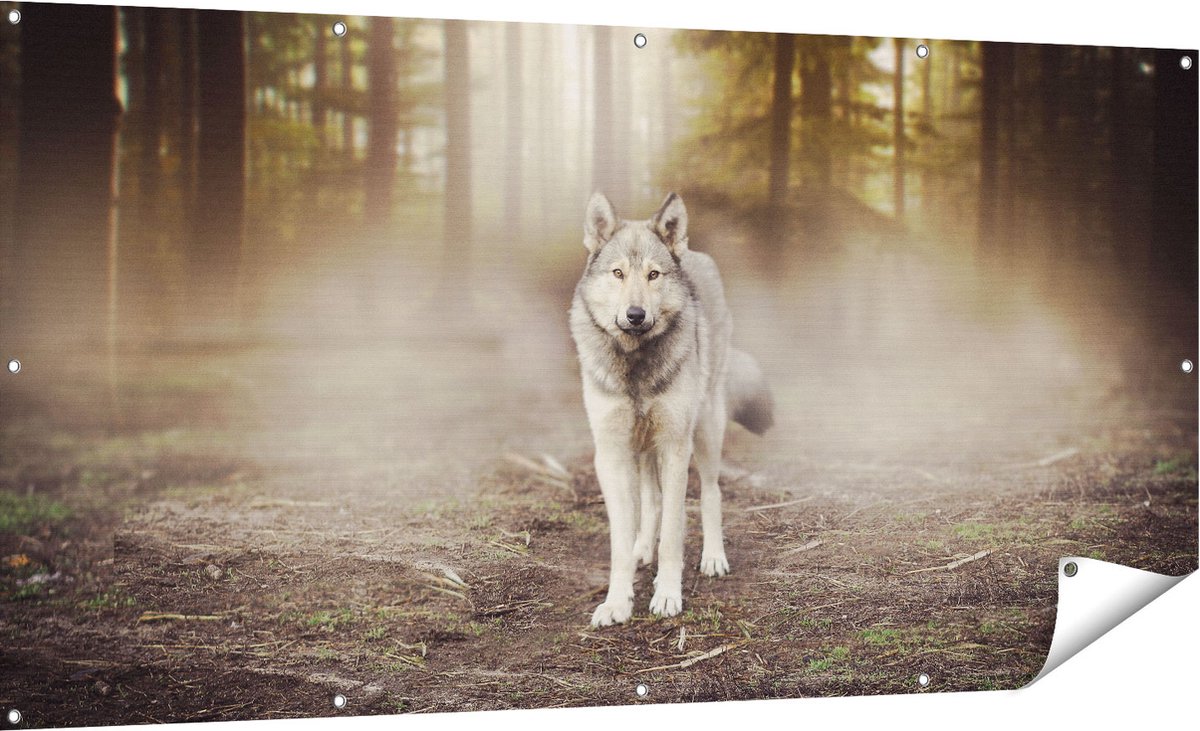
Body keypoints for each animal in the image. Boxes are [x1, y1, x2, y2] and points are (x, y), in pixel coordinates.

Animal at [570, 191, 774, 627]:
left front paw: (666, 595)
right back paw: (641, 549)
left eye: (654, 275)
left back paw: (713, 557)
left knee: (711, 493)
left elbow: (675, 534)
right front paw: (617, 601)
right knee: (652, 501)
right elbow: (620, 539)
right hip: (644, 447)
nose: (635, 315)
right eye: (617, 273)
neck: (636, 366)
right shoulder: (611, 455)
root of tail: (694, 252)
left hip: (706, 431)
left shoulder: (676, 448)